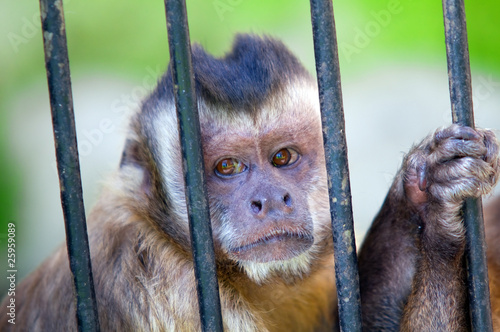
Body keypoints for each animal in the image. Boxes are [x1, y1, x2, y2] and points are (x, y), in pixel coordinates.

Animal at [0, 34, 498, 332]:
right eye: (227, 167)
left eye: (283, 158)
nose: (271, 200)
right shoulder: (162, 286)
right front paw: (440, 231)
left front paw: (420, 194)